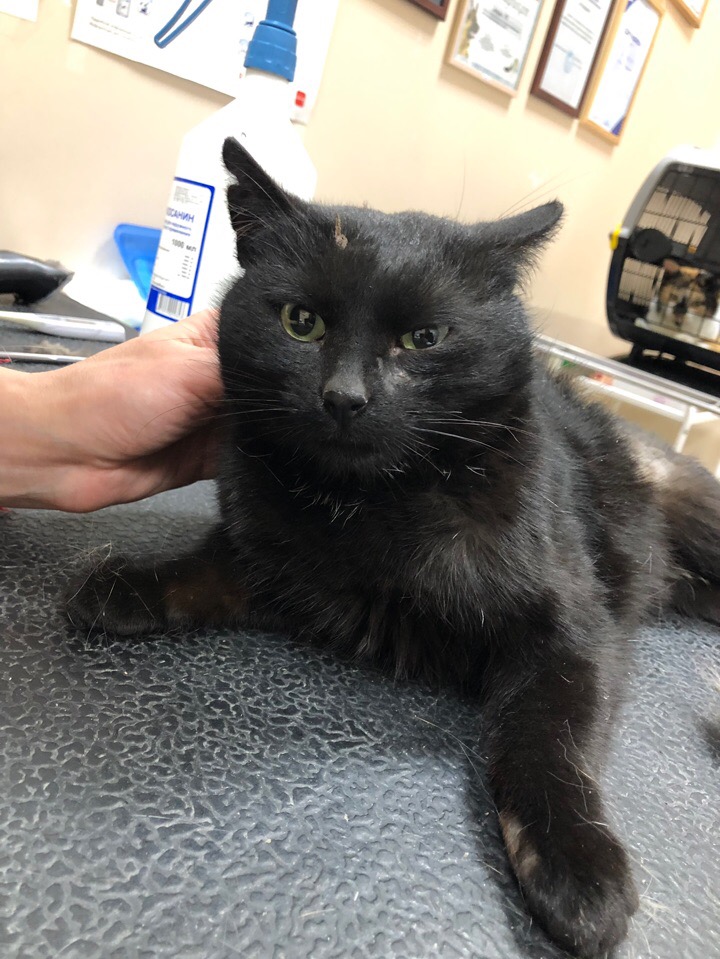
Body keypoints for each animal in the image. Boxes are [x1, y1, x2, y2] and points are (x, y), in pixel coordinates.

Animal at [67, 138, 720, 957]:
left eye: (424, 340)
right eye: (302, 321)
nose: (345, 397)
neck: (370, 507)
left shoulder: (575, 626)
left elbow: (548, 737)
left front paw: (578, 869)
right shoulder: (271, 558)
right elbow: (199, 570)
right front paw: (120, 584)